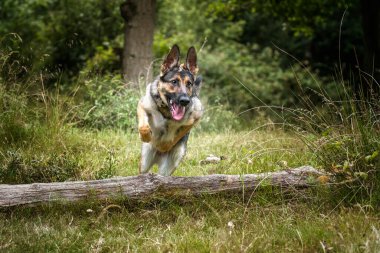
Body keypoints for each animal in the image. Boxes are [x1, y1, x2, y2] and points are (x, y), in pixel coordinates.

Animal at [137, 45, 202, 176]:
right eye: (174, 82)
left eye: (189, 84)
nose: (185, 101)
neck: (166, 112)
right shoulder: (142, 106)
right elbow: (143, 126)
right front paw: (145, 136)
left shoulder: (194, 118)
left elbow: (177, 134)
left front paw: (164, 145)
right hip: (145, 162)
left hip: (170, 165)